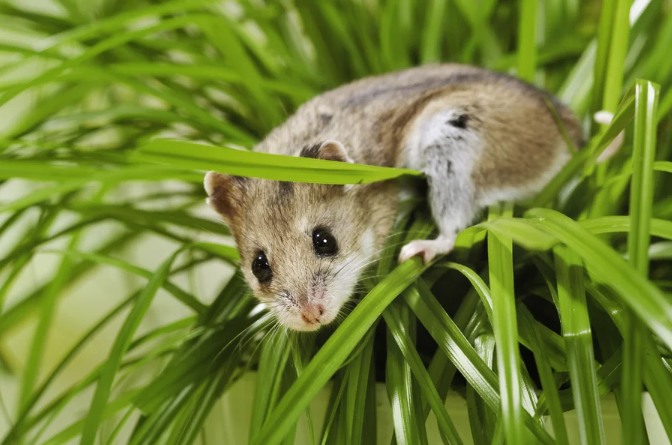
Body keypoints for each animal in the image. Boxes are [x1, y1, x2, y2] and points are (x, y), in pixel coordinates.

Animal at [204, 64, 598, 331]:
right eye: (259, 266)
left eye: (325, 240)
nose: (311, 318)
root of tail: (572, 138)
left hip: (453, 144)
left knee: (453, 231)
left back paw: (417, 250)